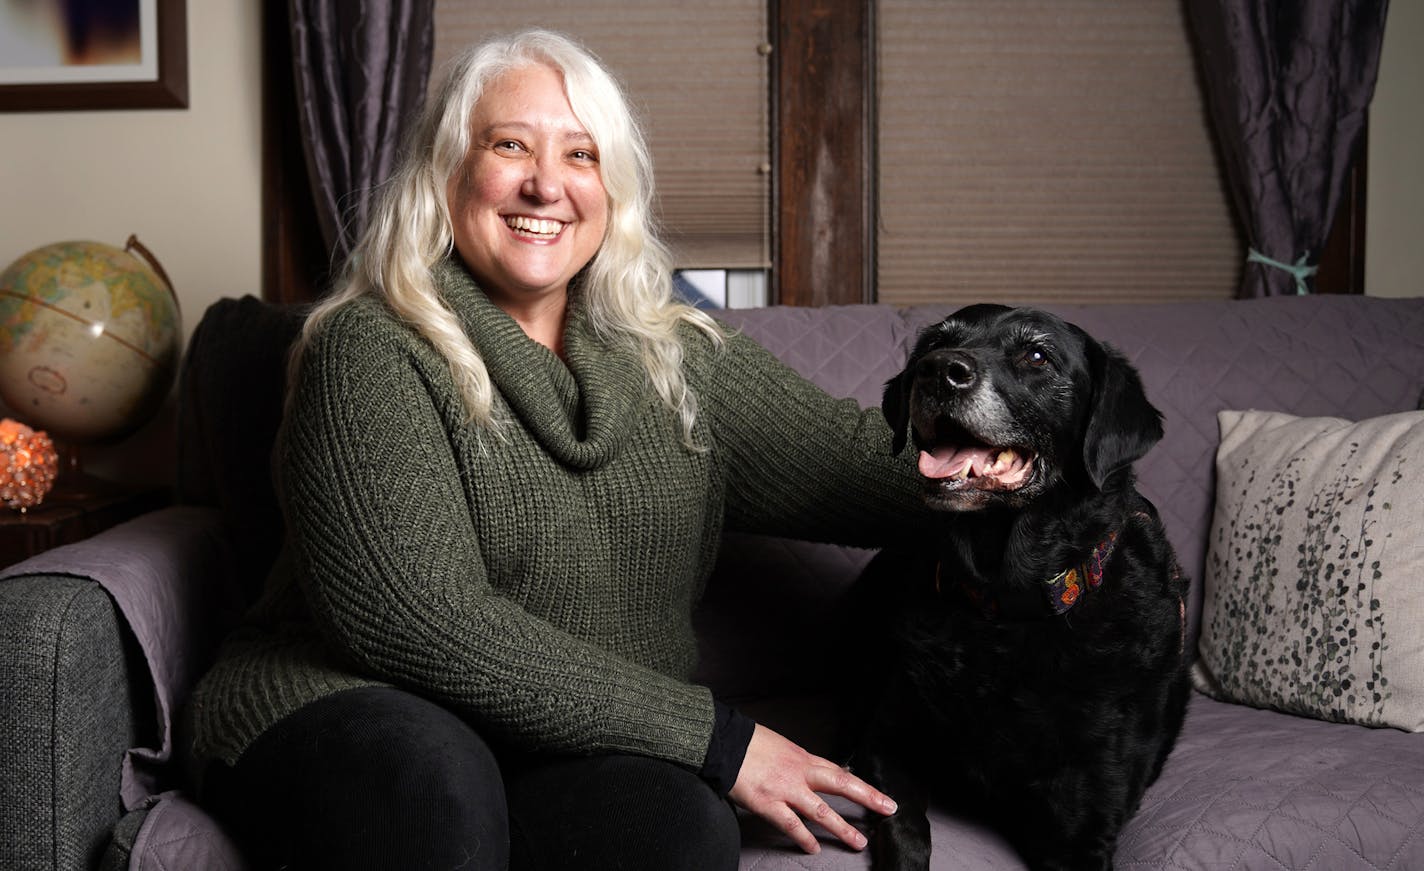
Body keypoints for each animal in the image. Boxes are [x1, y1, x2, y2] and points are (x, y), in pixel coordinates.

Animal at [848, 305, 1196, 871]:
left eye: (1037, 356)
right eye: (935, 345)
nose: (938, 370)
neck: (1003, 607)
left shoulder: (1083, 830)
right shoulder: (888, 747)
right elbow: (907, 829)